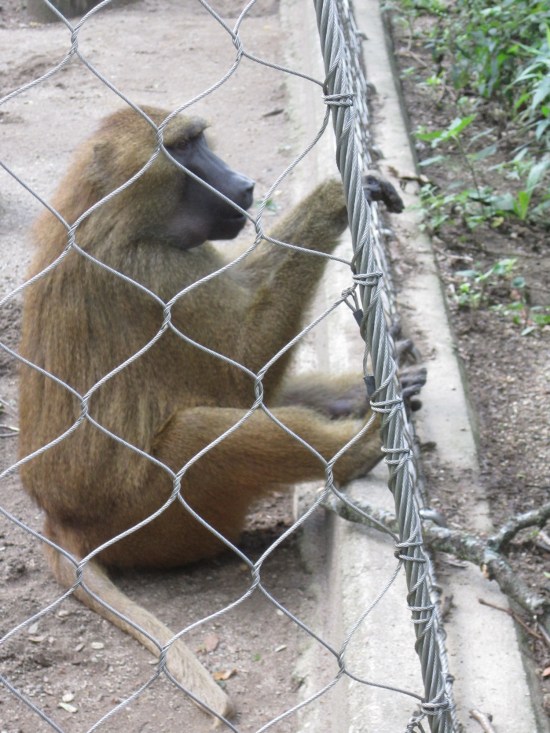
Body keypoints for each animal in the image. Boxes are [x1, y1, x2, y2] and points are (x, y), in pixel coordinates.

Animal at [18, 105, 424, 719]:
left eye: (200, 140)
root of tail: (60, 519)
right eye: (184, 149)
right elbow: (241, 372)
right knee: (203, 435)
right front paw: (335, 198)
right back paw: (362, 449)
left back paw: (365, 398)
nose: (243, 185)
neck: (112, 215)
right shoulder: (156, 275)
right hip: (149, 520)